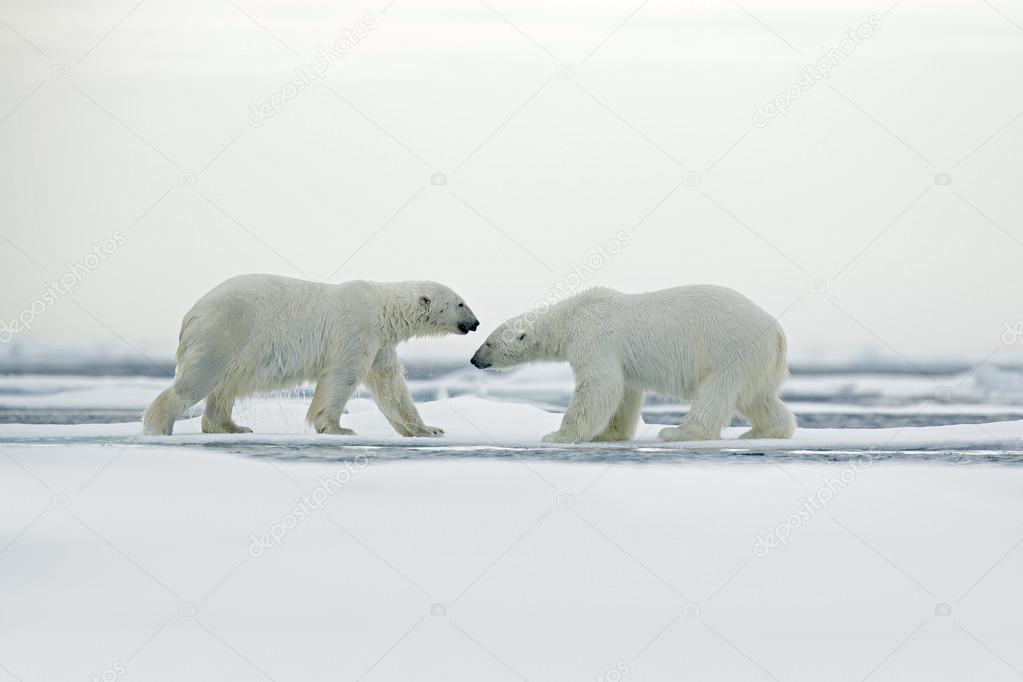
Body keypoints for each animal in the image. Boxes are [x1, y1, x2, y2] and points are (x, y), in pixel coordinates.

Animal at [143, 278, 478, 437]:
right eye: (461, 303)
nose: (475, 323)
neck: (382, 308)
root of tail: (191, 313)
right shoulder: (355, 330)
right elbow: (343, 376)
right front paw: (337, 428)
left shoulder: (380, 342)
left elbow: (391, 387)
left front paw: (428, 429)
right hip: (225, 330)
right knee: (198, 379)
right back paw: (159, 426)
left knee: (224, 388)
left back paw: (232, 426)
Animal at [468, 286, 793, 445]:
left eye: (489, 342)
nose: (473, 359)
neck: (569, 318)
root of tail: (778, 332)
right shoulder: (621, 359)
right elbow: (623, 392)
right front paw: (609, 434)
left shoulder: (594, 337)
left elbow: (599, 386)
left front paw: (558, 436)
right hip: (755, 361)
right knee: (758, 397)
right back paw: (765, 431)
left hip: (731, 349)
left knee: (716, 392)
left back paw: (679, 432)